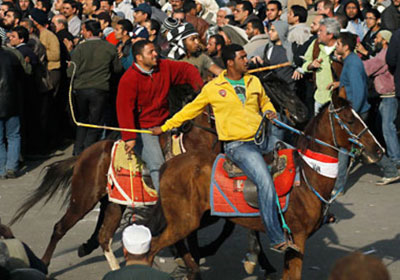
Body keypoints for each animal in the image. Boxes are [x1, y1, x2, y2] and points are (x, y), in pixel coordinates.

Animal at [144, 93, 384, 278]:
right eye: (350, 121)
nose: (379, 150)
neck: (308, 177)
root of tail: (169, 163)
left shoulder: (294, 245)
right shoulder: (297, 238)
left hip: (200, 217)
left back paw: (193, 266)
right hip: (184, 220)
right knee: (153, 249)